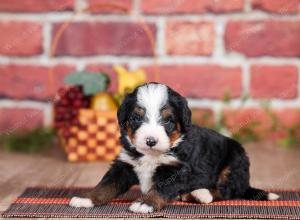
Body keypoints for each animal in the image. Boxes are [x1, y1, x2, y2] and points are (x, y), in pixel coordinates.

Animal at [69, 82, 280, 213]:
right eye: (137, 118)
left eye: (168, 120)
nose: (150, 140)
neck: (151, 154)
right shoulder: (125, 164)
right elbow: (105, 185)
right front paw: (86, 198)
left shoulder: (177, 170)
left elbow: (160, 188)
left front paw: (145, 203)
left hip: (235, 161)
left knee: (226, 191)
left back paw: (200, 193)